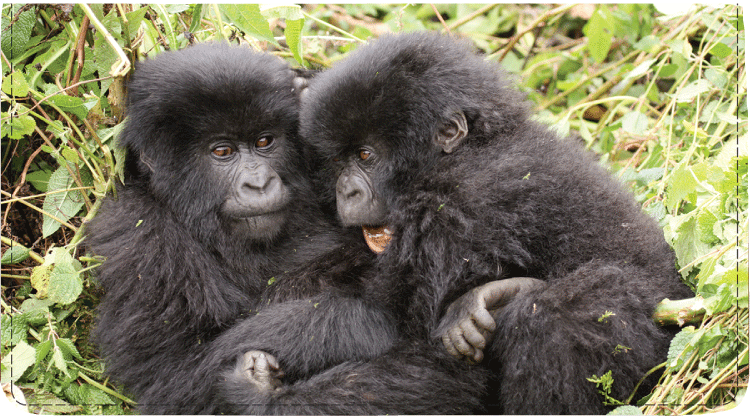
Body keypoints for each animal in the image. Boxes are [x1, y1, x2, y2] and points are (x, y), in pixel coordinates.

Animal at [296, 32, 696, 412]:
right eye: (338, 160)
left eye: (366, 155)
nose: (345, 192)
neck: (473, 145)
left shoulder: (454, 205)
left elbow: (399, 332)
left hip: (655, 324)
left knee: (557, 317)